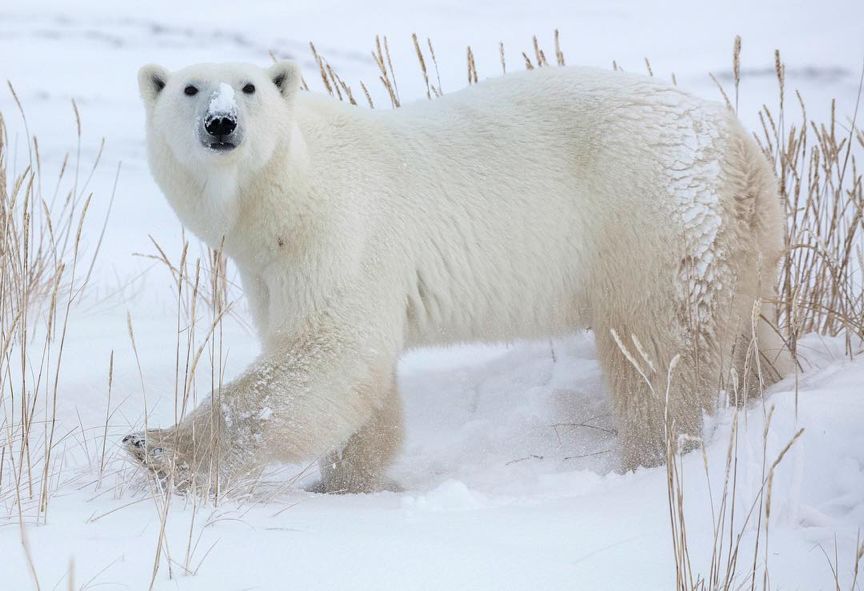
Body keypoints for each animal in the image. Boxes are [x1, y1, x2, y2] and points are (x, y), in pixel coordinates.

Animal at [126, 60, 788, 494]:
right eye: (189, 88)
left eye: (249, 86)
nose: (221, 123)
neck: (283, 193)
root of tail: (742, 149)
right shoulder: (268, 267)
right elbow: (358, 375)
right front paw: (348, 483)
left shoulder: (339, 230)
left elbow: (328, 352)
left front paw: (155, 448)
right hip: (728, 245)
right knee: (744, 336)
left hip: (648, 218)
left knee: (657, 356)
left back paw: (648, 459)